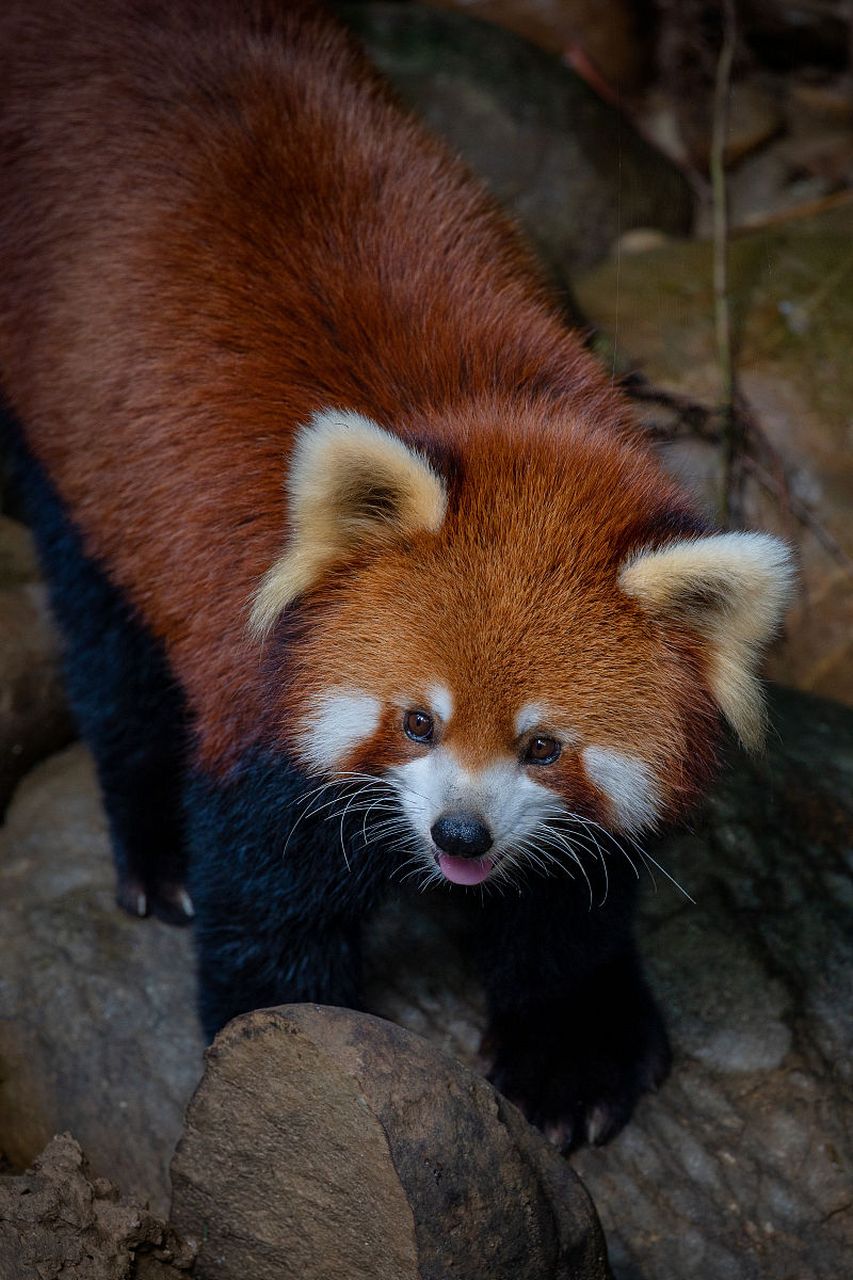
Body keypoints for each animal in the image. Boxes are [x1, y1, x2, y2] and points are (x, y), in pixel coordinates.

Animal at [0, 0, 788, 1152]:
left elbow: (565, 907)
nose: (459, 833)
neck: (501, 423)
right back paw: (156, 844)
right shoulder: (264, 704)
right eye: (416, 721)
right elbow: (268, 909)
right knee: (108, 640)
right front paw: (281, 1069)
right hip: (71, 449)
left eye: (543, 746)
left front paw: (571, 1044)